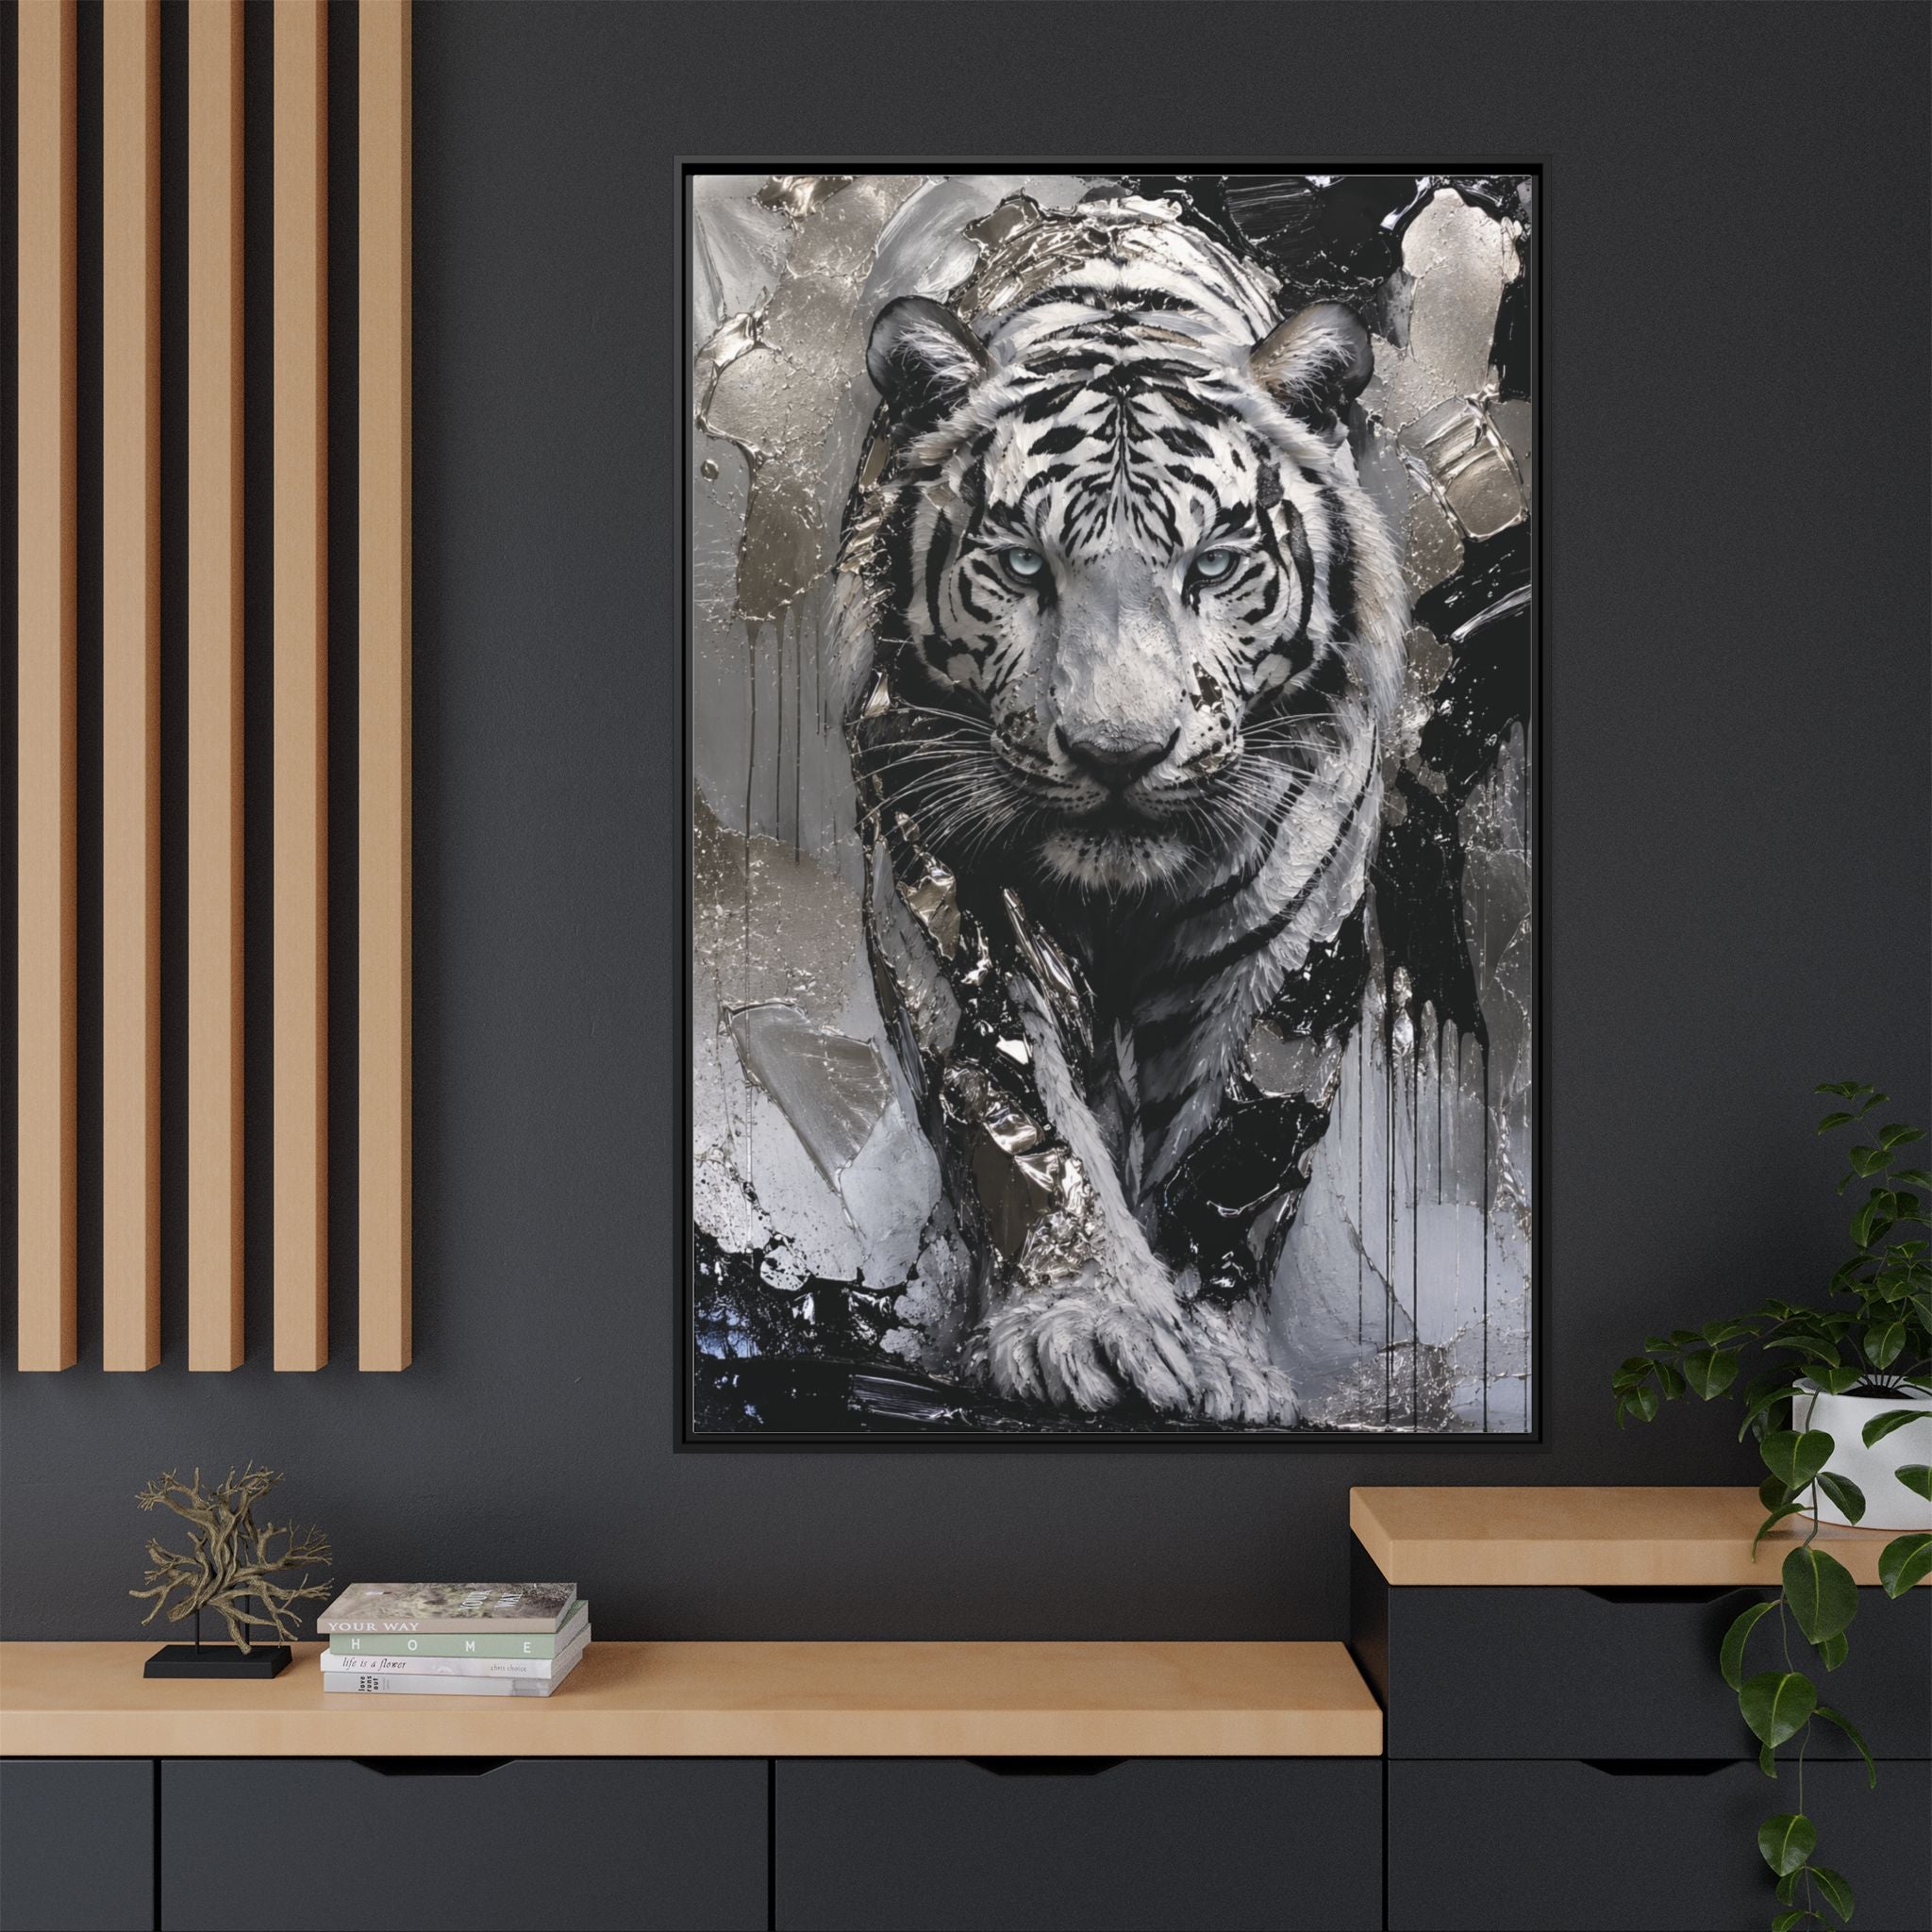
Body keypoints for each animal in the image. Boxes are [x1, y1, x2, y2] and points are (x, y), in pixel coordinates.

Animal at [834, 196, 1407, 1426]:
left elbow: (1238, 1143)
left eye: (1216, 563)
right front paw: (1085, 1328)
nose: (1115, 753)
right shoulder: (947, 887)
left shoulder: (1295, 923)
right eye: (1018, 564)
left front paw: (1219, 1355)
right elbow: (1017, 1105)